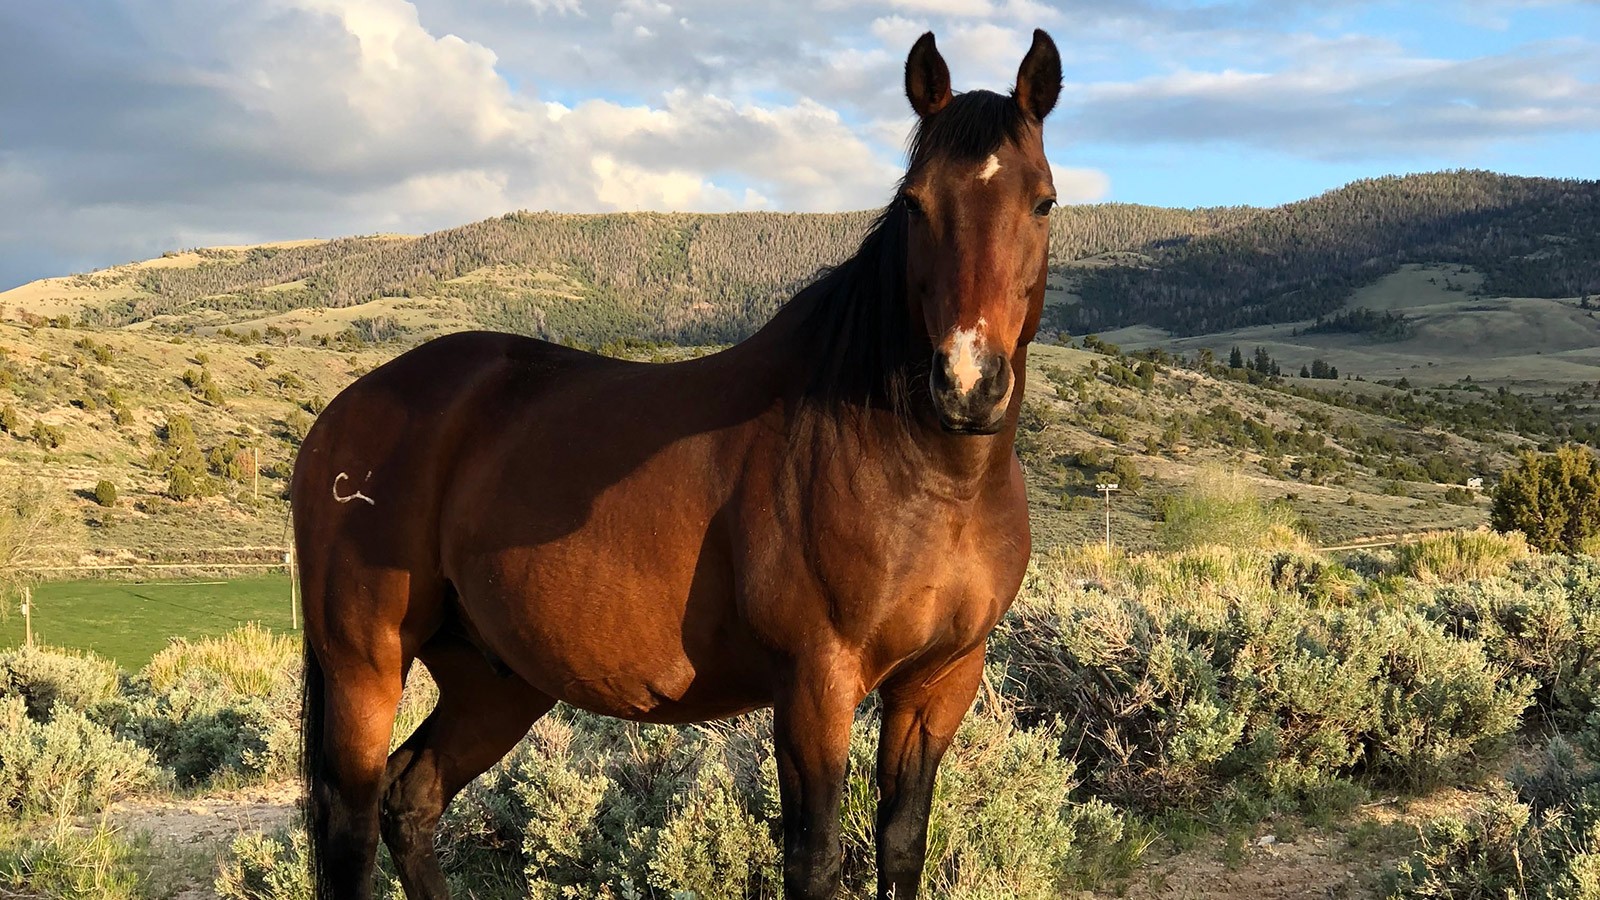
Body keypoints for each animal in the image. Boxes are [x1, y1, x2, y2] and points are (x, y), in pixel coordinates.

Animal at [292, 28, 1062, 900]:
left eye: (1042, 202)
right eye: (914, 204)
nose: (967, 383)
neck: (927, 480)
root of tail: (344, 415)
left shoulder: (939, 685)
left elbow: (901, 848)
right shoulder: (814, 688)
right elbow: (815, 860)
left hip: (493, 679)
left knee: (410, 799)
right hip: (365, 668)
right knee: (354, 826)